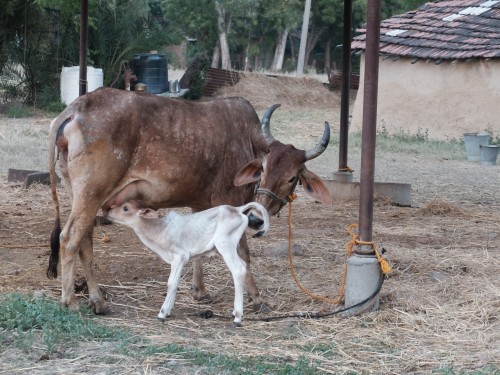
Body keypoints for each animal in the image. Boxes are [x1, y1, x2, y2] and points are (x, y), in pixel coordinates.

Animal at [106, 200, 270, 326]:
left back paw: (237, 317)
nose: (108, 211)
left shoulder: (180, 256)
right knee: (244, 264)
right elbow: (176, 283)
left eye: (126, 208)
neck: (159, 230)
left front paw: (162, 313)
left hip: (224, 244)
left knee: (238, 269)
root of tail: (236, 209)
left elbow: (171, 283)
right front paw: (168, 311)